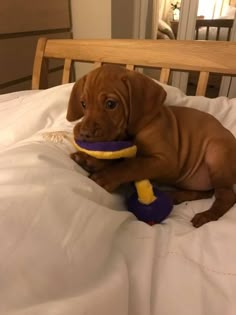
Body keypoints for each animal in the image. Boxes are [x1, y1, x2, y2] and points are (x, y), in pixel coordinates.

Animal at [66, 65, 236, 227]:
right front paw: (89, 160)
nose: (84, 134)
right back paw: (176, 195)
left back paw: (207, 215)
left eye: (110, 104)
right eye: (83, 104)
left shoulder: (166, 161)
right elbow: (119, 159)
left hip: (216, 153)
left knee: (227, 196)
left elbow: (132, 164)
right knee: (207, 192)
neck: (134, 130)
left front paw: (106, 176)